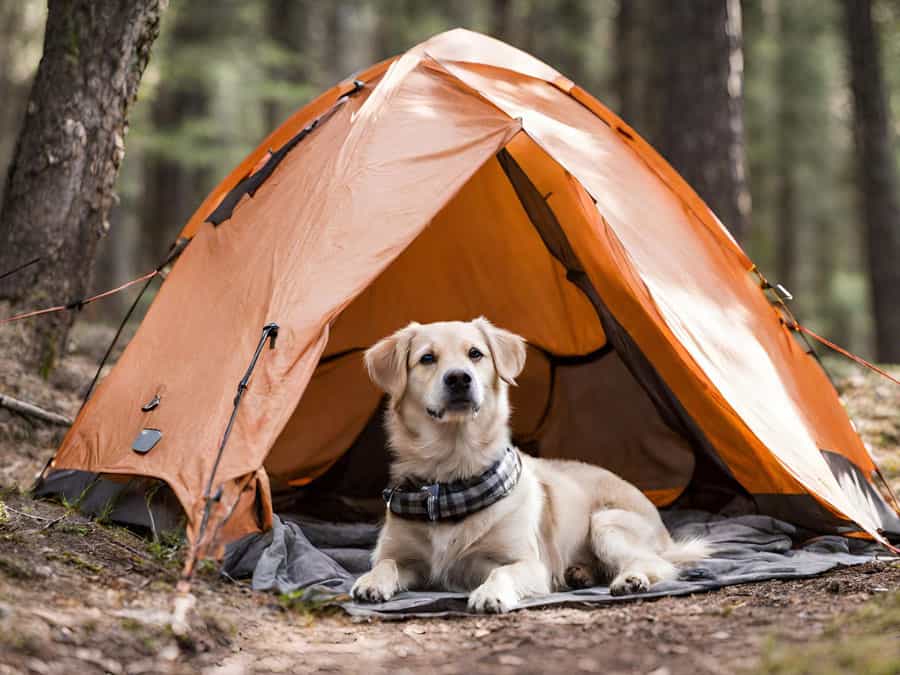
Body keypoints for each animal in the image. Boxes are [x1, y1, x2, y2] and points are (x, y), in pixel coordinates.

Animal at [348, 316, 708, 612]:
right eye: (426, 358)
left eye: (475, 354)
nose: (459, 378)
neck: (452, 483)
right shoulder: (401, 556)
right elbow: (385, 564)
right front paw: (371, 582)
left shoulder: (530, 564)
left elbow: (501, 573)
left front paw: (489, 593)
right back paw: (580, 573)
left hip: (606, 522)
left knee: (656, 565)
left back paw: (630, 579)